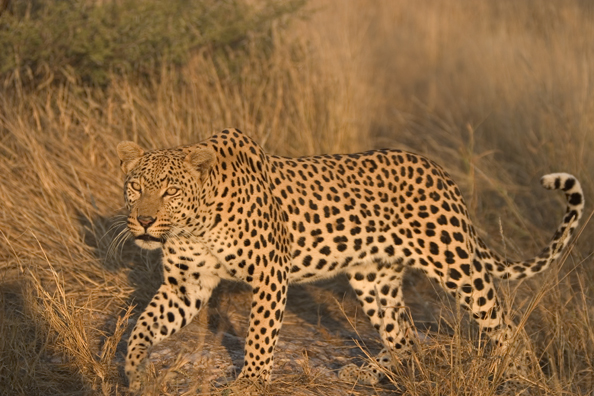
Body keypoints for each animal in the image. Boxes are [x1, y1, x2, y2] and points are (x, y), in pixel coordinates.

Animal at [117, 127, 584, 390]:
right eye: (135, 187)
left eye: (169, 191)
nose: (144, 220)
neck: (195, 222)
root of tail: (439, 172)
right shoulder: (185, 284)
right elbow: (145, 325)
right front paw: (134, 371)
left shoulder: (270, 274)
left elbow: (260, 335)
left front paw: (249, 382)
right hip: (373, 278)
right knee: (404, 337)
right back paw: (366, 375)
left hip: (455, 263)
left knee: (505, 326)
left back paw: (520, 375)